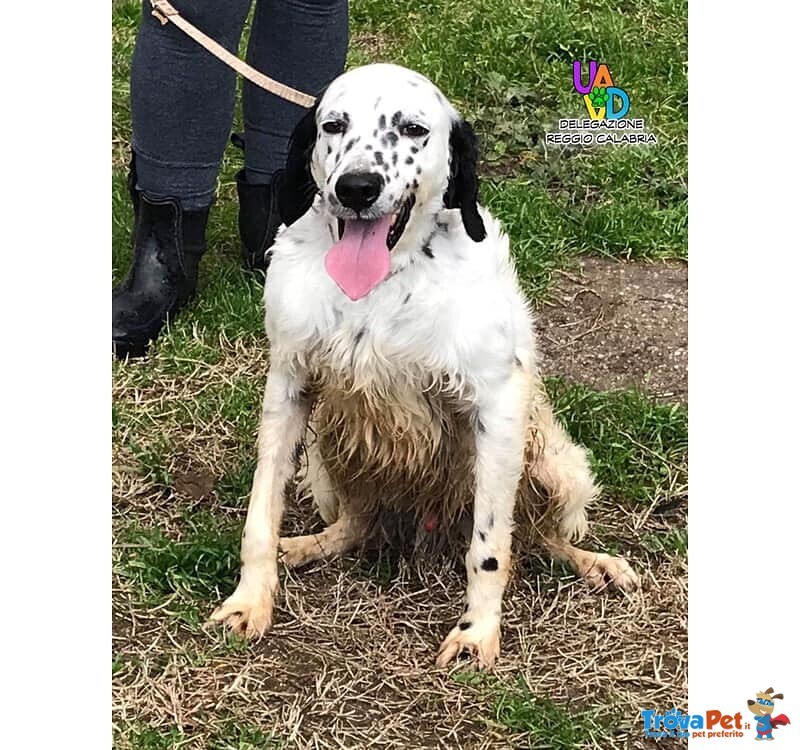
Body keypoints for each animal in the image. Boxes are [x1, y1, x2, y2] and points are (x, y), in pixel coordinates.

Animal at [211, 61, 636, 668]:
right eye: (333, 125)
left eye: (413, 129)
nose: (356, 188)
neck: (383, 283)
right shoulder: (288, 388)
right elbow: (261, 514)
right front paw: (252, 599)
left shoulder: (497, 410)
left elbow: (491, 548)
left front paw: (477, 632)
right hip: (325, 458)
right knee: (356, 524)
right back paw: (310, 546)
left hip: (558, 468)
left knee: (539, 538)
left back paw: (596, 564)